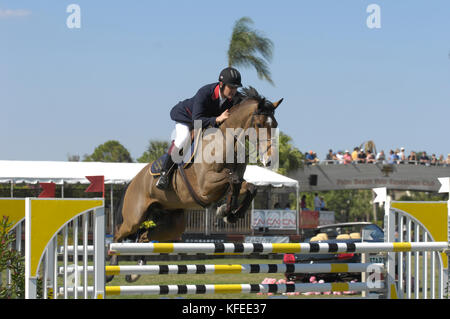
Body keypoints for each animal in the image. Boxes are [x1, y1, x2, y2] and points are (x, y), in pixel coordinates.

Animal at [107, 87, 284, 282]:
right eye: (259, 125)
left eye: (275, 124)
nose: (269, 160)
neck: (226, 143)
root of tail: (133, 181)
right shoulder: (206, 186)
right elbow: (234, 181)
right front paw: (226, 211)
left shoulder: (227, 183)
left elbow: (249, 187)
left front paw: (229, 213)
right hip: (134, 218)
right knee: (117, 236)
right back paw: (110, 271)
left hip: (172, 224)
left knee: (143, 238)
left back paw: (135, 272)